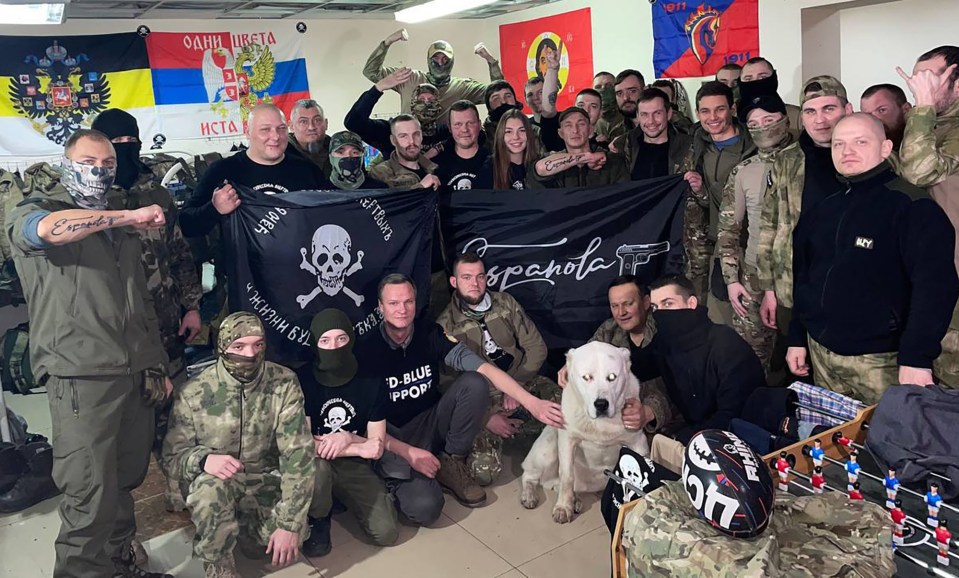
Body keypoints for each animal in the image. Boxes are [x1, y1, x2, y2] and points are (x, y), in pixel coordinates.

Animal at [520, 338, 648, 520]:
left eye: (612, 377)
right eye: (587, 377)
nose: (601, 404)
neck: (600, 425)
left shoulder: (638, 442)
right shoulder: (567, 441)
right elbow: (567, 476)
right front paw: (563, 507)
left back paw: (575, 500)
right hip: (547, 449)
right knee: (529, 476)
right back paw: (530, 496)